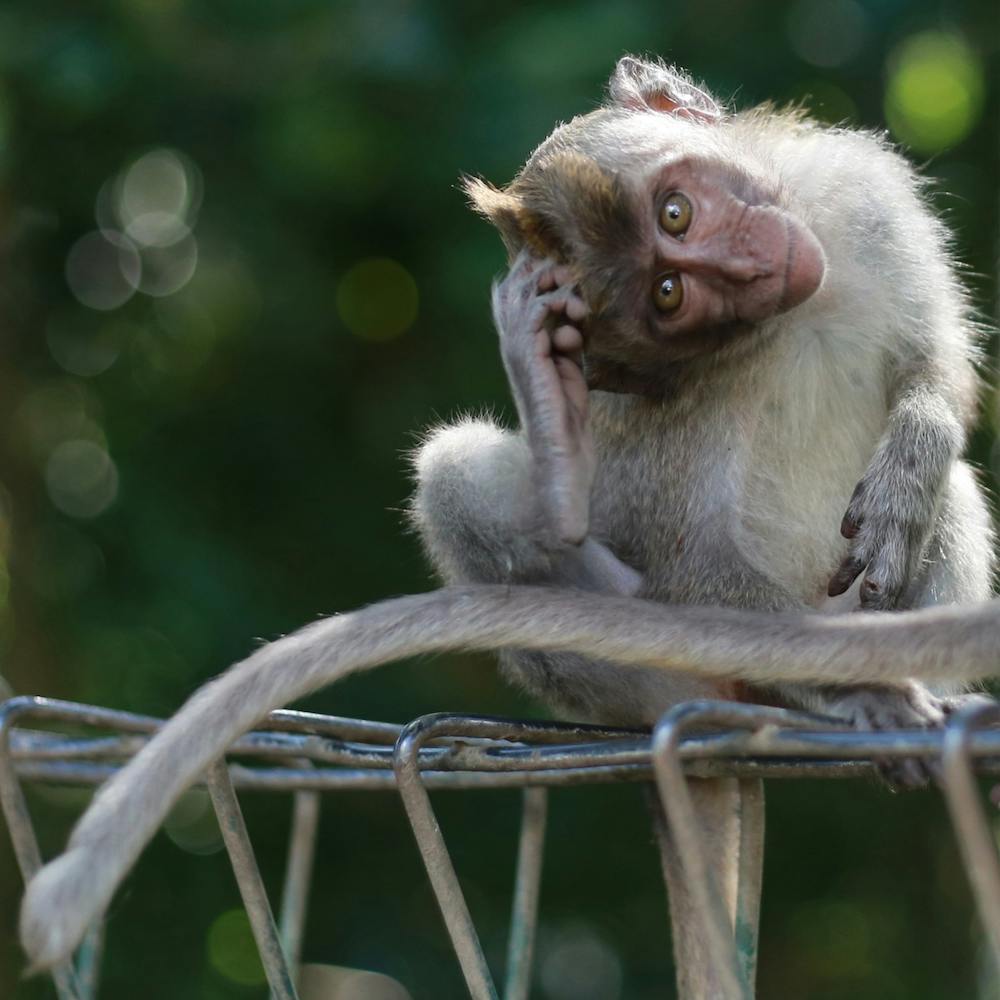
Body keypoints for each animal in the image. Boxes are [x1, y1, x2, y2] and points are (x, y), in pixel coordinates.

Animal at [17, 56, 1000, 975]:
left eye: (676, 216)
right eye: (671, 296)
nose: (750, 268)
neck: (798, 310)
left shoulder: (863, 199)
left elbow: (935, 372)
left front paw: (912, 454)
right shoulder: (683, 412)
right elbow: (691, 566)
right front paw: (860, 688)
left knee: (950, 495)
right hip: (639, 684)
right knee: (460, 482)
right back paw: (568, 491)